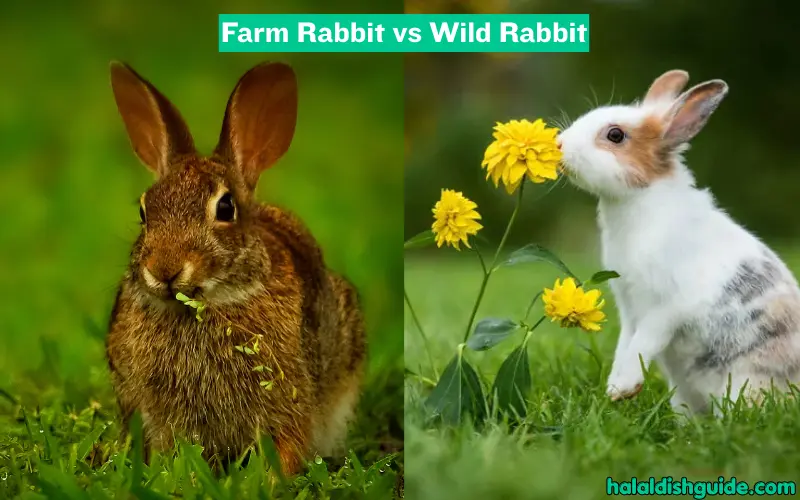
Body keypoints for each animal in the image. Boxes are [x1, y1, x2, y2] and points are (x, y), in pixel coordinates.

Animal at [105, 60, 366, 474]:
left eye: (225, 208)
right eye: (144, 211)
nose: (164, 271)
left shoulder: (289, 403)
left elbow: (288, 445)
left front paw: (274, 480)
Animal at [557, 69, 800, 416]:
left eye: (615, 135)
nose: (559, 144)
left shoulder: (667, 307)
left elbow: (643, 342)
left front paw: (622, 388)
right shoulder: (629, 308)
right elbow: (625, 344)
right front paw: (616, 389)